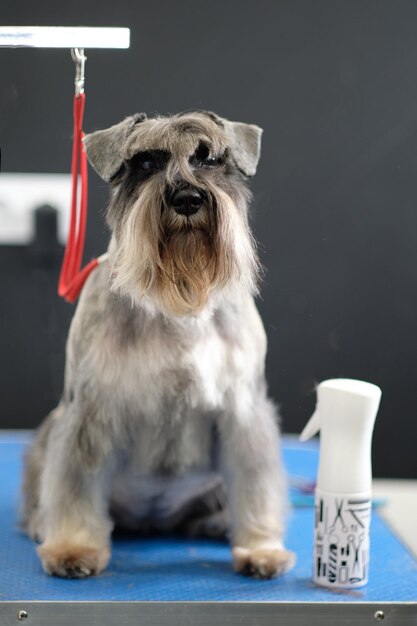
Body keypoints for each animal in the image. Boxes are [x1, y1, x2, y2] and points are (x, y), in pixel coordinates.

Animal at [22, 109, 294, 576]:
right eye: (147, 162)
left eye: (210, 158)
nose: (187, 199)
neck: (177, 305)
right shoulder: (88, 412)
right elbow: (74, 484)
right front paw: (73, 548)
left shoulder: (244, 412)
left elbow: (256, 483)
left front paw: (261, 548)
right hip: (45, 440)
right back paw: (43, 525)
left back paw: (215, 522)